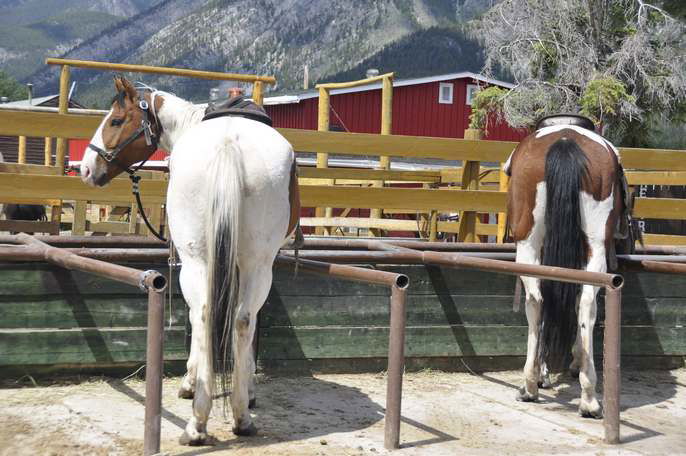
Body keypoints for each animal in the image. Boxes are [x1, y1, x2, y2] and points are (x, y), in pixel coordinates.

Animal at [80, 76, 300, 444]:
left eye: (115, 120)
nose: (85, 167)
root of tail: (228, 142)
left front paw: (193, 380)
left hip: (203, 261)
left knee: (206, 314)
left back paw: (200, 421)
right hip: (253, 262)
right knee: (235, 318)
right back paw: (236, 417)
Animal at [508, 119, 632, 418]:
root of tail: (565, 139)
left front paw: (544, 373)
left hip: (528, 244)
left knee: (537, 300)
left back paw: (532, 384)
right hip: (593, 246)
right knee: (584, 302)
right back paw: (588, 396)